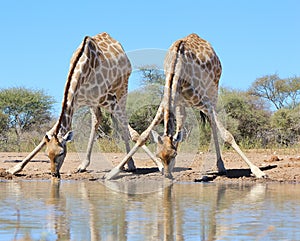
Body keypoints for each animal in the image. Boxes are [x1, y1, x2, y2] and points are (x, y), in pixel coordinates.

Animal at [7, 32, 162, 177]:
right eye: (47, 154)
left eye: (61, 153)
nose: (54, 174)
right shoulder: (75, 101)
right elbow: (51, 132)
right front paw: (15, 168)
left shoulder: (107, 99)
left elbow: (130, 129)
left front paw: (158, 164)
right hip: (95, 102)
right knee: (98, 120)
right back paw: (85, 164)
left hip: (121, 89)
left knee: (123, 124)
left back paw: (130, 165)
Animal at [106, 33, 268, 180]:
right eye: (159, 155)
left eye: (174, 155)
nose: (167, 175)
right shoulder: (167, 102)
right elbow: (144, 136)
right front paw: (113, 172)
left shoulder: (205, 102)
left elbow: (227, 135)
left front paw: (258, 171)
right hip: (182, 103)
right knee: (181, 126)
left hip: (212, 92)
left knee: (213, 124)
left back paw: (221, 166)